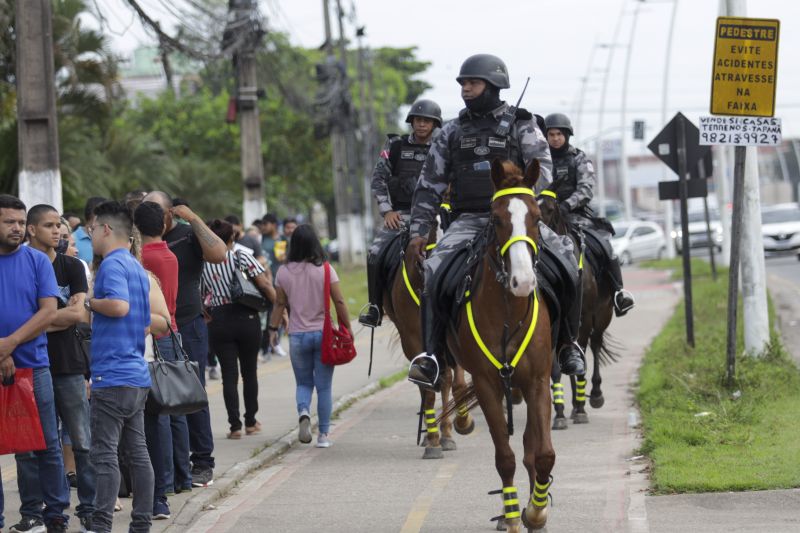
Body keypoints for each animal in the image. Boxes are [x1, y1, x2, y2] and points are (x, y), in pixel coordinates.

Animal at [382, 219, 476, 458]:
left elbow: (456, 383)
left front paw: (462, 423)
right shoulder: (413, 338)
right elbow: (427, 387)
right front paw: (433, 441)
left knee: (447, 378)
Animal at [444, 160, 556, 528]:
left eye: (537, 216)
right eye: (495, 219)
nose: (522, 282)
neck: (509, 311)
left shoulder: (538, 381)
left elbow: (543, 454)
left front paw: (536, 511)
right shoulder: (486, 385)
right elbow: (505, 458)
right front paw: (512, 516)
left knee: (532, 447)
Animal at [536, 191, 620, 428]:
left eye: (549, 209)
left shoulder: (584, 319)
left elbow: (582, 356)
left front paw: (581, 407)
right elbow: (556, 367)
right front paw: (560, 411)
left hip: (602, 316)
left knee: (595, 345)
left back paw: (593, 396)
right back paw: (573, 405)